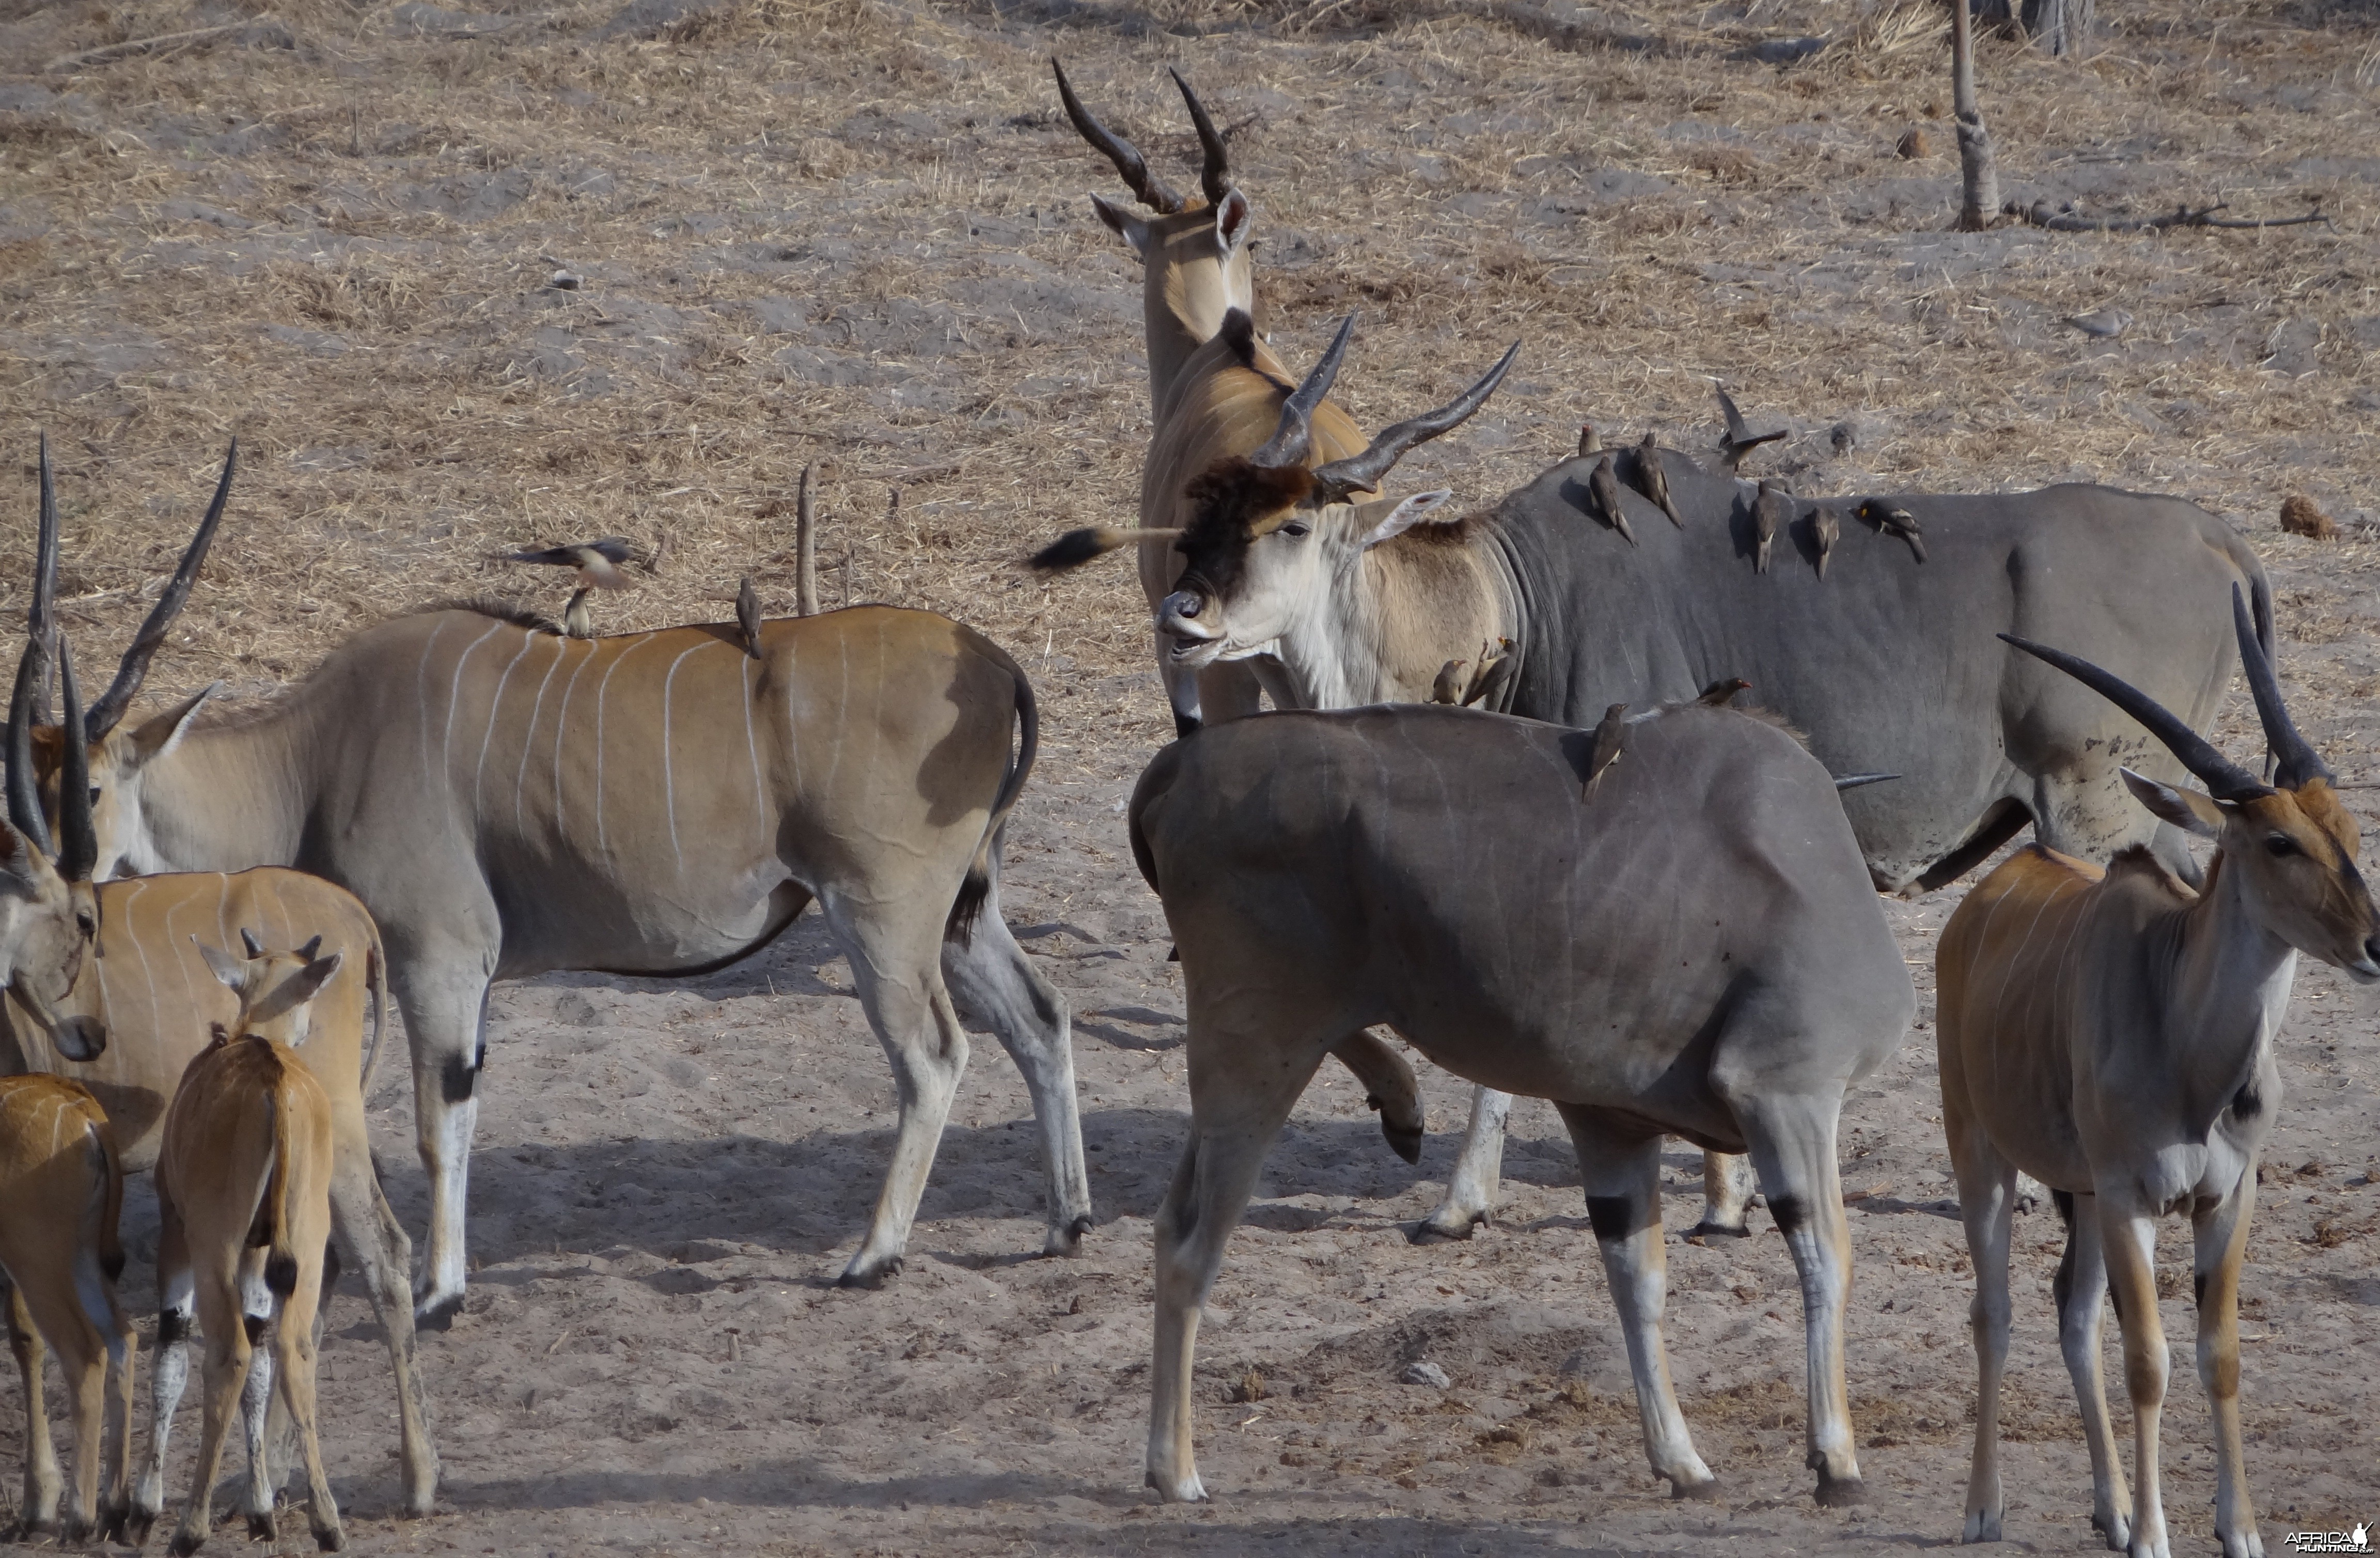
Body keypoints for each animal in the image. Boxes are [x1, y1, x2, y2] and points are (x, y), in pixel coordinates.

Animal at [1942, 587, 2370, 1558]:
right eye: (2278, 843)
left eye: (2348, 830)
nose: (2375, 942)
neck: (2190, 1053)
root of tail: (1982, 902)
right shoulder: (2131, 1198)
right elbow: (2148, 1362)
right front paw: (2154, 1534)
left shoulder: (2224, 1198)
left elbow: (2216, 1355)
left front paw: (2234, 1529)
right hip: (1985, 1158)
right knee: (1996, 1313)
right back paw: (1983, 1506)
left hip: (2081, 1195)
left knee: (2070, 1313)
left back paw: (2108, 1504)